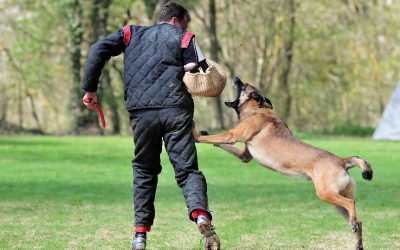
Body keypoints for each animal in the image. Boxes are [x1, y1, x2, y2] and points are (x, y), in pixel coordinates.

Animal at [192, 76, 374, 250]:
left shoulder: (231, 135)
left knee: (351, 203)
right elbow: (218, 143)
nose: (235, 77)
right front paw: (203, 132)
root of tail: (341, 161)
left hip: (326, 193)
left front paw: (195, 134)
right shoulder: (244, 155)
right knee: (358, 220)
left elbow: (212, 138)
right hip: (336, 202)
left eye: (244, 85)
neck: (258, 110)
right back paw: (357, 241)